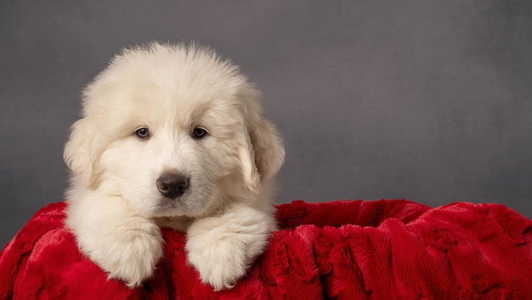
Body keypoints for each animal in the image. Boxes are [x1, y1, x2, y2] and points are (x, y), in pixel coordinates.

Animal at [64, 42, 284, 290]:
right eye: (142, 132)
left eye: (199, 132)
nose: (172, 184)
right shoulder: (86, 195)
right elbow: (107, 204)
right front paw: (129, 248)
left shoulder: (258, 203)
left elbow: (237, 213)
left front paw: (221, 253)